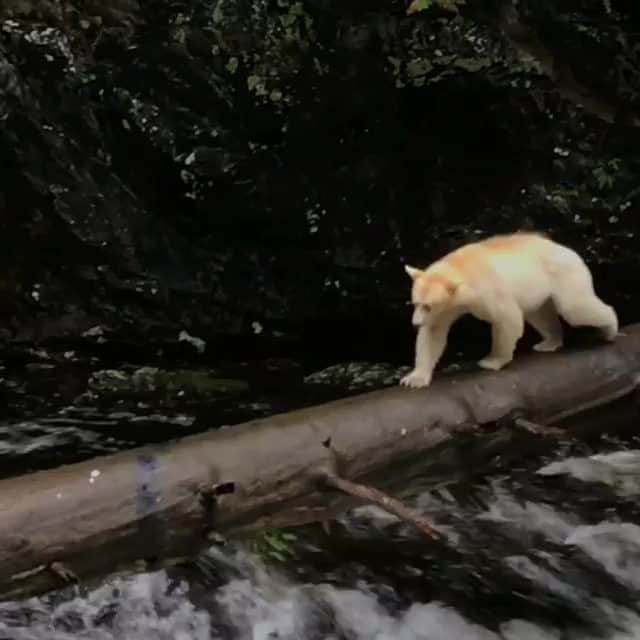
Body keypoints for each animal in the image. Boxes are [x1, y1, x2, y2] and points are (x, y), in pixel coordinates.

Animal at [400, 232, 619, 389]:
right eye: (414, 303)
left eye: (428, 306)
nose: (414, 323)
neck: (462, 268)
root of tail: (570, 251)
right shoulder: (448, 307)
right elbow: (433, 334)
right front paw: (414, 379)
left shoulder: (486, 289)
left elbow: (507, 318)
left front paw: (491, 361)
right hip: (538, 289)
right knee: (541, 316)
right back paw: (548, 342)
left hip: (565, 277)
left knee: (576, 308)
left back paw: (610, 329)